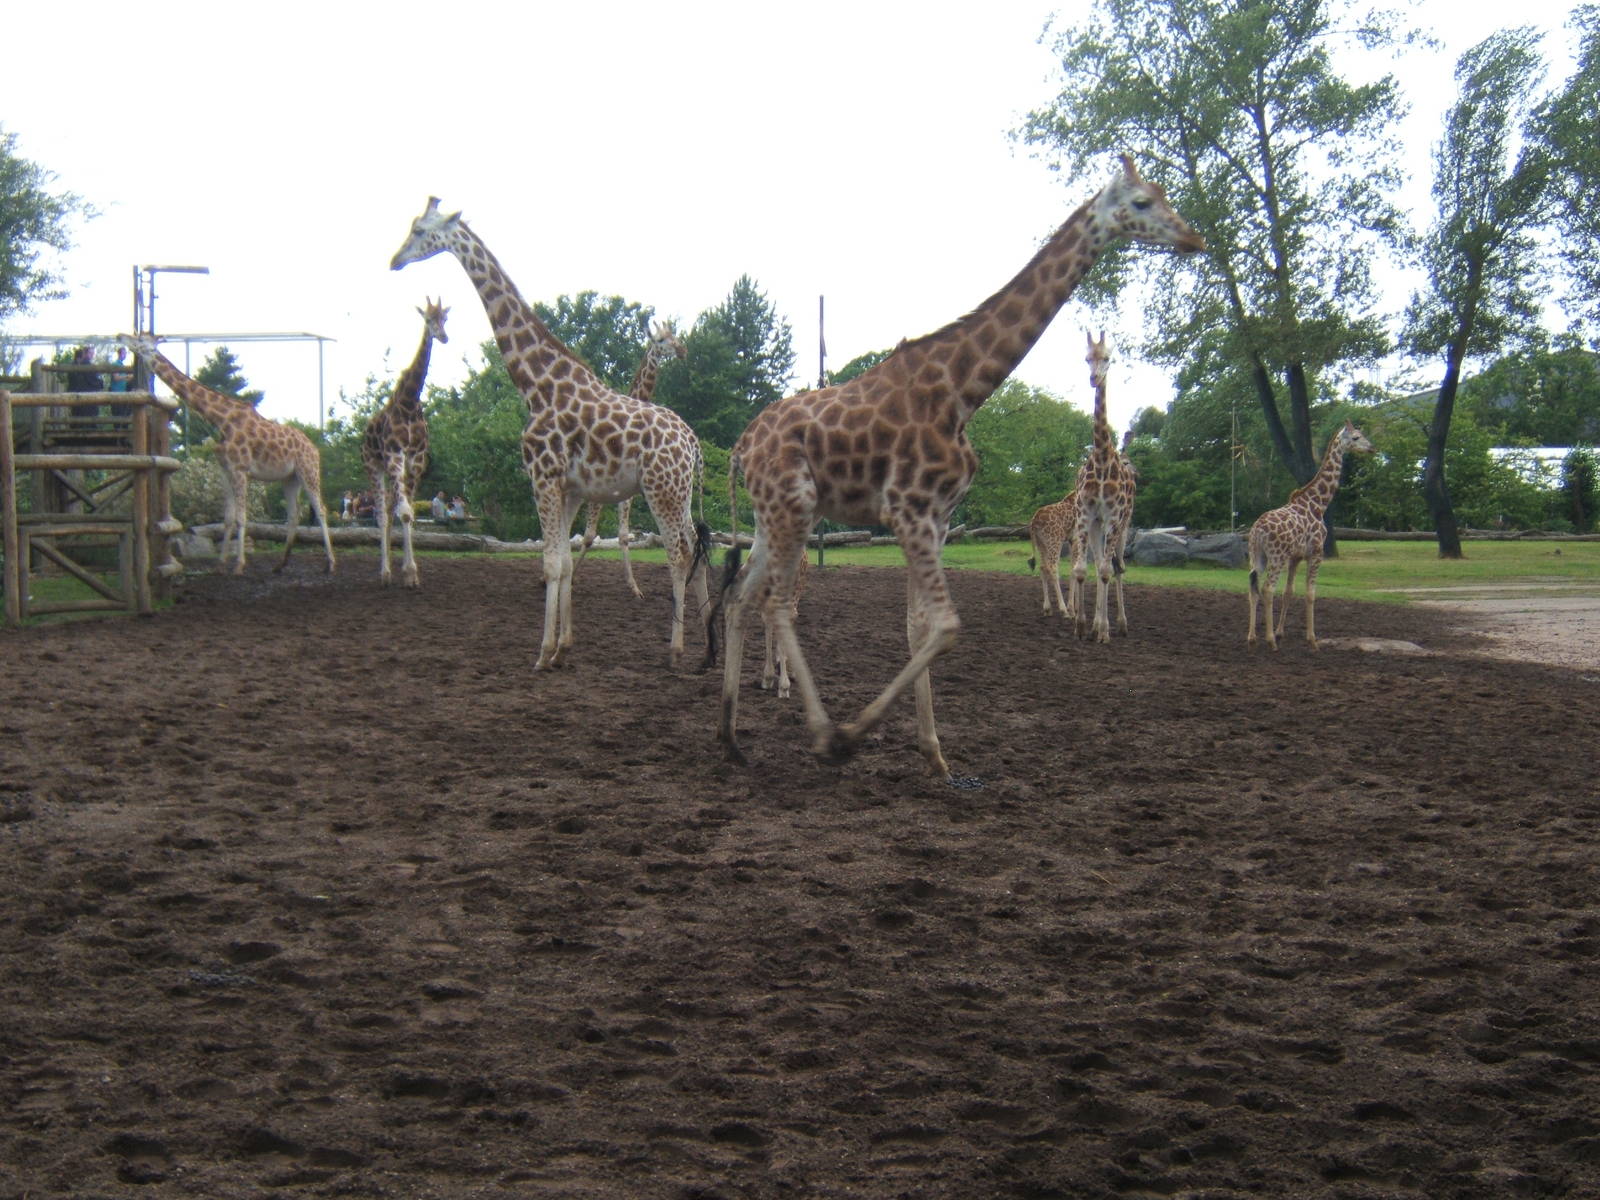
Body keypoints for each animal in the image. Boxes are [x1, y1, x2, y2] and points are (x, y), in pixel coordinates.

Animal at [119, 334, 336, 576]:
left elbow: (242, 517)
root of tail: (314, 448)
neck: (220, 420)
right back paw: (281, 564)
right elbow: (228, 518)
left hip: (308, 471)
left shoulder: (240, 469)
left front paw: (239, 564)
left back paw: (330, 563)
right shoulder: (225, 469)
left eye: (141, 342)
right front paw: (221, 563)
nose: (120, 336)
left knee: (321, 510)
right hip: (290, 478)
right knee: (293, 515)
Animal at [362, 299, 449, 588]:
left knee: (390, 510)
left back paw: (392, 570)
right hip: (374, 466)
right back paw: (384, 573)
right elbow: (404, 513)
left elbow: (409, 513)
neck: (409, 403)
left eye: (445, 319)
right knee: (382, 514)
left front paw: (410, 572)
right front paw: (407, 571)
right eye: (428, 319)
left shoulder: (416, 458)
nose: (443, 336)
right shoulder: (395, 455)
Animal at [576, 319, 690, 600]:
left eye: (675, 336)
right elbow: (589, 535)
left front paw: (635, 588)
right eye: (660, 340)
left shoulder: (625, 495)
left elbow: (624, 535)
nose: (682, 350)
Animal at [709, 155, 1204, 777]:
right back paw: (822, 734)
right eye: (1140, 202)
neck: (964, 390)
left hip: (772, 515)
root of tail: (742, 446)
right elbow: (946, 625)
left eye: (1162, 193)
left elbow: (918, 626)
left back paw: (730, 737)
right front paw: (859, 734)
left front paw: (935, 754)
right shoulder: (910, 509)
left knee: (739, 598)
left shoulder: (939, 517)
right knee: (774, 602)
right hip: (792, 509)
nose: (1192, 238)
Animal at [1247, 419, 1375, 650]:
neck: (1318, 504)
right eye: (1356, 437)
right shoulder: (1316, 553)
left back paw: (1252, 637)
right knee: (1268, 588)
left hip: (1257, 556)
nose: (1372, 448)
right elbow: (1311, 593)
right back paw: (1270, 641)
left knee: (1253, 587)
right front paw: (1312, 640)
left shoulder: (1296, 556)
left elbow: (1289, 591)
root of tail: (1257, 531)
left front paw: (1280, 632)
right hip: (1276, 557)